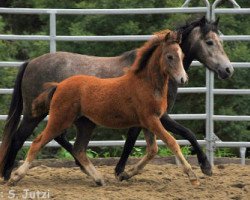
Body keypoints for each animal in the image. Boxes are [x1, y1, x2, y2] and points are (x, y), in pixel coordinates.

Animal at [8, 31, 199, 186]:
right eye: (169, 56)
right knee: (37, 142)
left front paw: (125, 174)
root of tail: (59, 85)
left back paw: (98, 178)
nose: (183, 79)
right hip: (59, 120)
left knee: (79, 149)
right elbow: (172, 142)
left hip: (85, 124)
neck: (145, 84)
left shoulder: (148, 123)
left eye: (182, 54)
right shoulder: (151, 120)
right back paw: (14, 176)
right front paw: (192, 176)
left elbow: (153, 150)